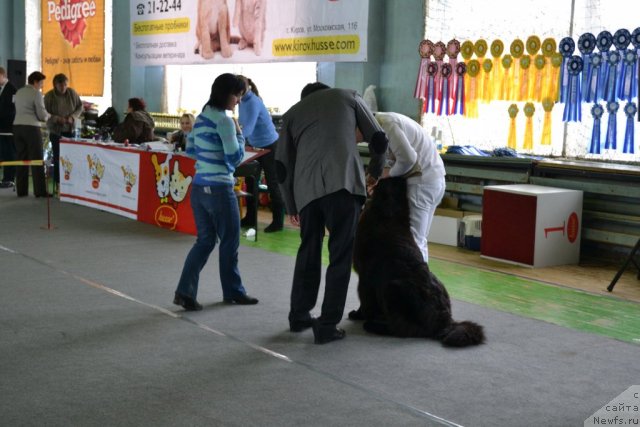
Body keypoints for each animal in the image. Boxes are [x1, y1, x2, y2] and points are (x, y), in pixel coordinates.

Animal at [350, 177, 484, 348]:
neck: (389, 215)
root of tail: (444, 321)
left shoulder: (365, 277)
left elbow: (364, 301)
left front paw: (358, 315)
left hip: (392, 288)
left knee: (404, 329)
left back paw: (374, 325)